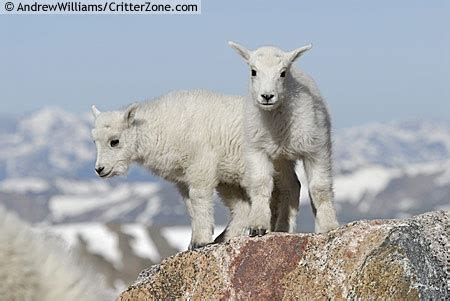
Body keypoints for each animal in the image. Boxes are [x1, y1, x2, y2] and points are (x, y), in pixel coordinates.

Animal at [90, 89, 298, 248]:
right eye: (94, 141)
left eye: (114, 141)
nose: (100, 169)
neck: (160, 129)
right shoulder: (183, 179)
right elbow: (190, 206)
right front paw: (194, 242)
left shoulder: (200, 167)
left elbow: (199, 199)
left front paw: (201, 241)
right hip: (229, 176)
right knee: (245, 206)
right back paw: (225, 237)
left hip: (271, 163)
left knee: (288, 187)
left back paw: (278, 227)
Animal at [230, 41, 340, 234]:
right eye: (253, 71)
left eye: (283, 73)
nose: (267, 96)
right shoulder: (257, 150)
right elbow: (261, 184)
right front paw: (257, 226)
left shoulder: (317, 149)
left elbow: (319, 188)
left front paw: (329, 226)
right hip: (281, 160)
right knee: (292, 187)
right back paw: (282, 227)